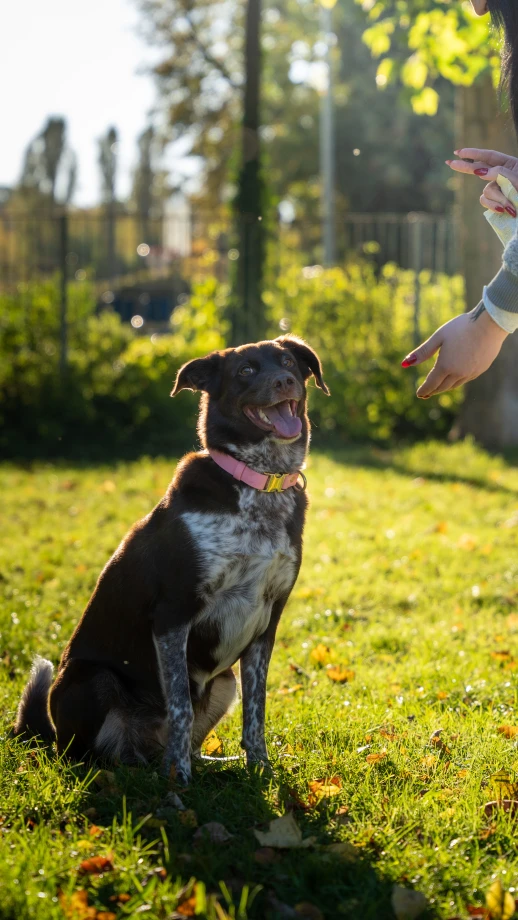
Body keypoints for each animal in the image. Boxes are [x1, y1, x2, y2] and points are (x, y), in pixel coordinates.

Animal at [15, 334, 330, 780]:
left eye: (287, 361)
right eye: (246, 370)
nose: (285, 381)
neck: (257, 483)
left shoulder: (267, 623)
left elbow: (257, 710)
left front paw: (260, 769)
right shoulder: (173, 615)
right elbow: (180, 704)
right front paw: (178, 779)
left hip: (225, 682)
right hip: (93, 681)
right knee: (88, 756)